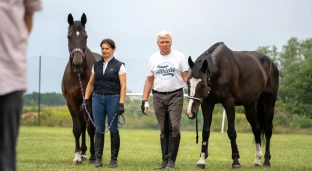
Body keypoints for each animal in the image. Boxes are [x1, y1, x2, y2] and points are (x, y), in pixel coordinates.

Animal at [62, 12, 102, 165]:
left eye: (85, 37)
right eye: (69, 36)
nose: (77, 64)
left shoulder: (90, 100)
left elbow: (91, 128)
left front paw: (93, 157)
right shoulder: (71, 101)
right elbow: (77, 128)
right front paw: (78, 156)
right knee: (83, 125)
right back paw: (83, 153)